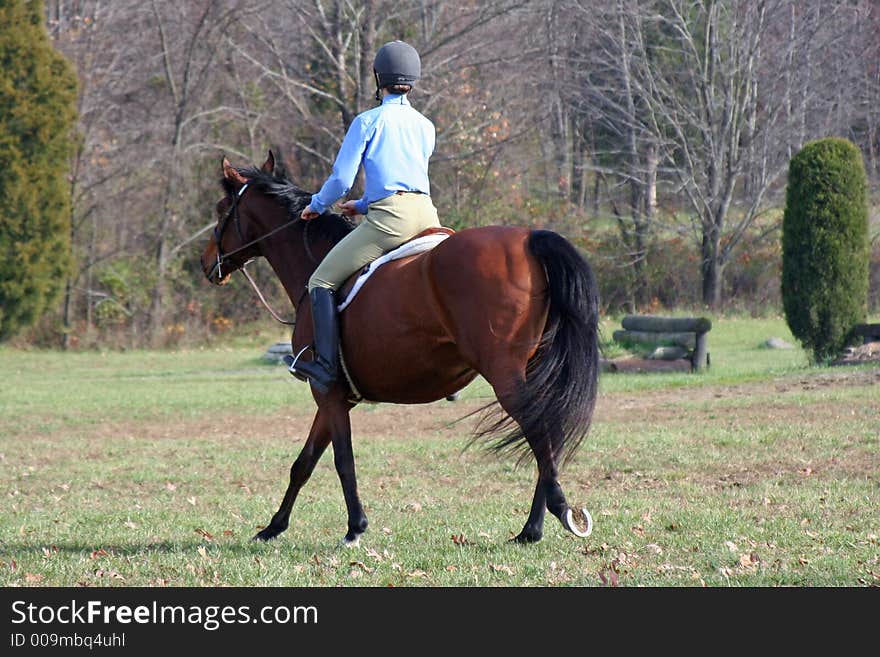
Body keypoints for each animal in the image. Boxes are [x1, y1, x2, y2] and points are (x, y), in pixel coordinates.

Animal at [199, 151, 600, 544]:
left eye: (221, 209)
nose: (206, 264)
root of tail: (530, 237)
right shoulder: (334, 395)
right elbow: (305, 462)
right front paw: (273, 527)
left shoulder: (326, 390)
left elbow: (342, 459)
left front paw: (355, 527)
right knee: (548, 436)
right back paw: (531, 530)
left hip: (506, 375)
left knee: (540, 433)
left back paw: (557, 513)